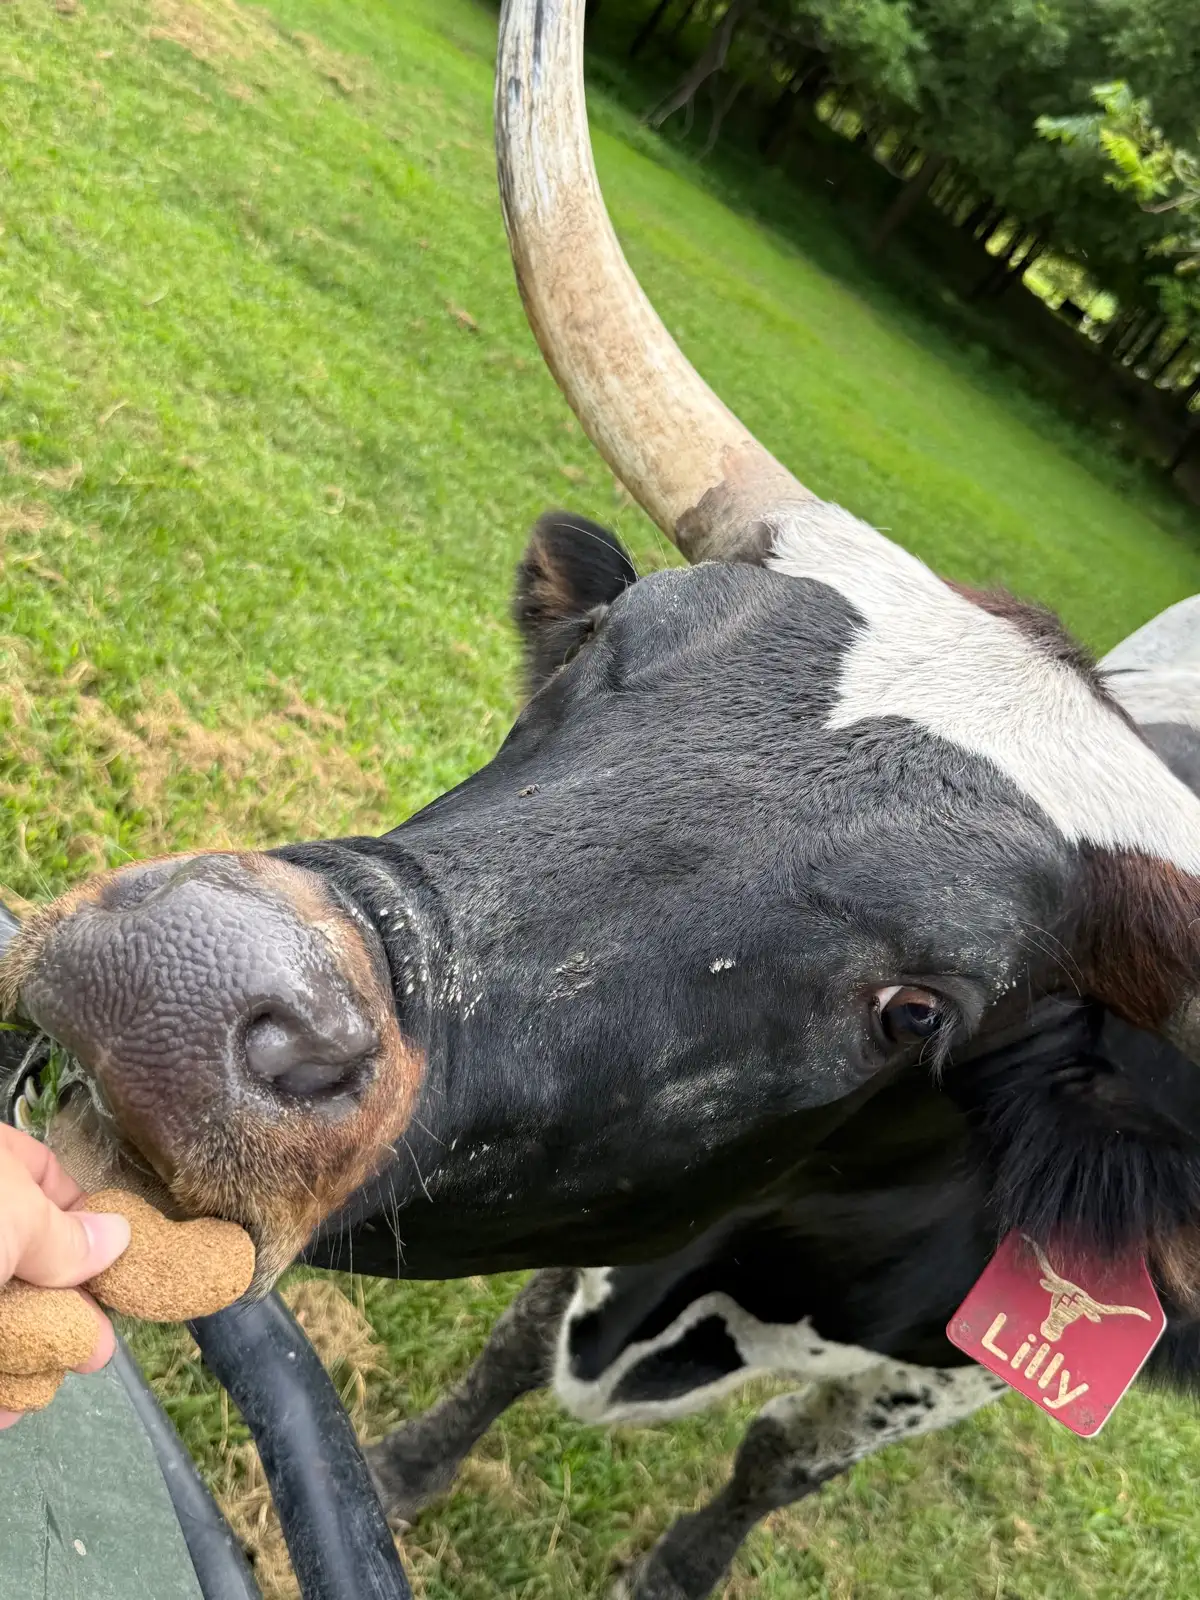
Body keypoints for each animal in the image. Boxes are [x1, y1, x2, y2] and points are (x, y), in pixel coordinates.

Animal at [2, 0, 1200, 1580]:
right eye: (597, 646)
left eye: (920, 1009)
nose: (173, 986)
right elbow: (520, 1337)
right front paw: (409, 1464)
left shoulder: (939, 1371)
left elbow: (777, 1460)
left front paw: (683, 1567)